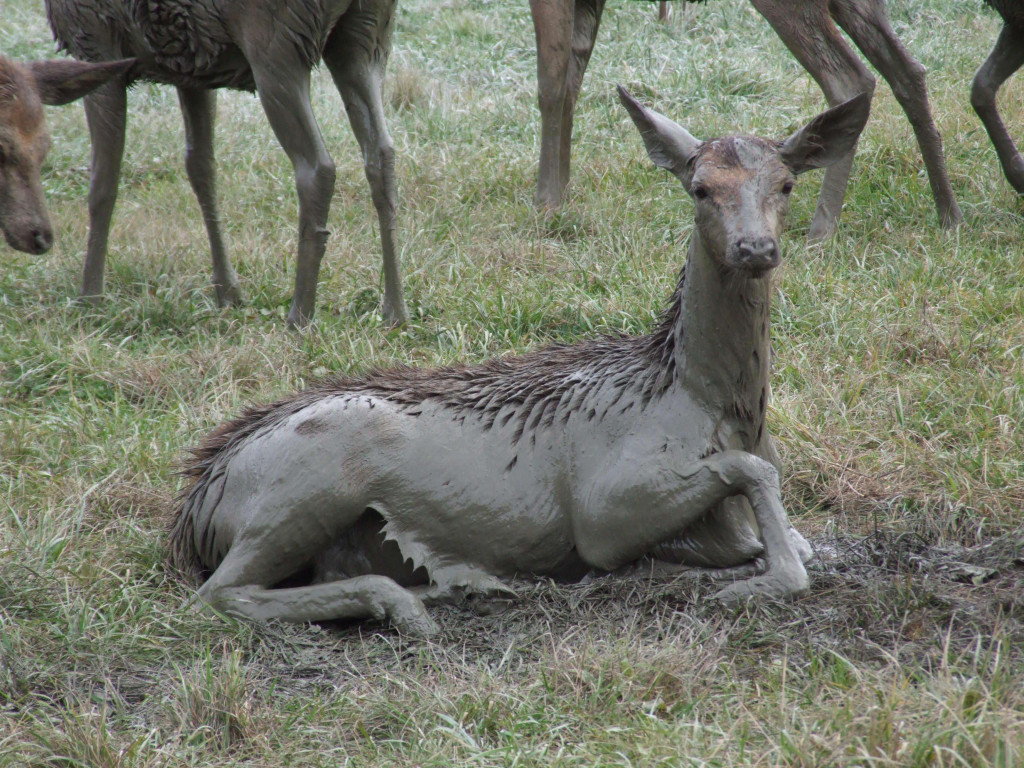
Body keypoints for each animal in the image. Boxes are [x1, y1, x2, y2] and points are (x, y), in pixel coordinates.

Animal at [43, 0, 407, 328]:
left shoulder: (93, 40)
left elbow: (102, 183)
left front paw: (90, 299)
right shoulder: (191, 66)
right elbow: (201, 167)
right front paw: (228, 291)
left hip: (275, 43)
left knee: (317, 167)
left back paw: (300, 315)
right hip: (365, 38)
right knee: (381, 152)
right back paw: (394, 310)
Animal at [169, 87, 870, 636]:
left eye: (786, 184)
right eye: (699, 188)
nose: (755, 248)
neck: (709, 401)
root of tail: (198, 505)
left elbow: (787, 525)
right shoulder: (603, 508)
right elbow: (750, 477)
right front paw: (756, 582)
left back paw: (449, 585)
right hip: (303, 488)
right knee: (219, 594)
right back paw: (406, 604)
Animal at [529, 0, 962, 240]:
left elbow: (551, 82)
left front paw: (545, 203)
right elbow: (573, 75)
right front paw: (561, 195)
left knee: (850, 78)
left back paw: (821, 232)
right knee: (907, 69)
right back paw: (949, 213)